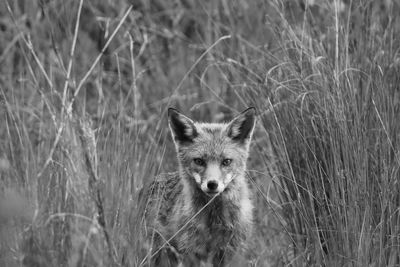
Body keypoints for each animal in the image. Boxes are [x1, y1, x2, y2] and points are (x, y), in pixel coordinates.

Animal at [143, 108, 256, 266]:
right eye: (199, 161)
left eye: (226, 161)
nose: (212, 184)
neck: (215, 220)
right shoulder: (191, 252)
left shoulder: (231, 252)